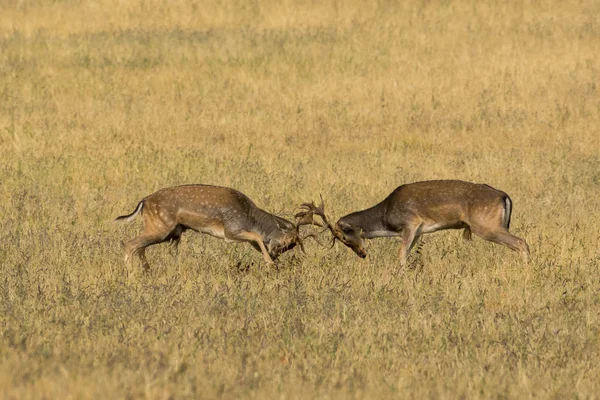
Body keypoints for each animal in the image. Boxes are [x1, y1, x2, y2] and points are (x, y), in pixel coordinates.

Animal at [114, 184, 316, 268]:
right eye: (287, 242)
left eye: (291, 246)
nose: (275, 255)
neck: (251, 217)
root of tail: (143, 202)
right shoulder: (230, 232)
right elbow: (257, 237)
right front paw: (270, 264)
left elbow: (257, 241)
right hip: (160, 227)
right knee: (129, 244)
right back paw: (131, 276)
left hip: (165, 231)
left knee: (139, 246)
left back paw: (146, 271)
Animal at [296, 180, 528, 266]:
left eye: (344, 236)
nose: (362, 254)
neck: (386, 217)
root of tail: (504, 196)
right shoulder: (418, 231)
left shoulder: (410, 223)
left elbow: (401, 254)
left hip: (486, 225)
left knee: (521, 242)